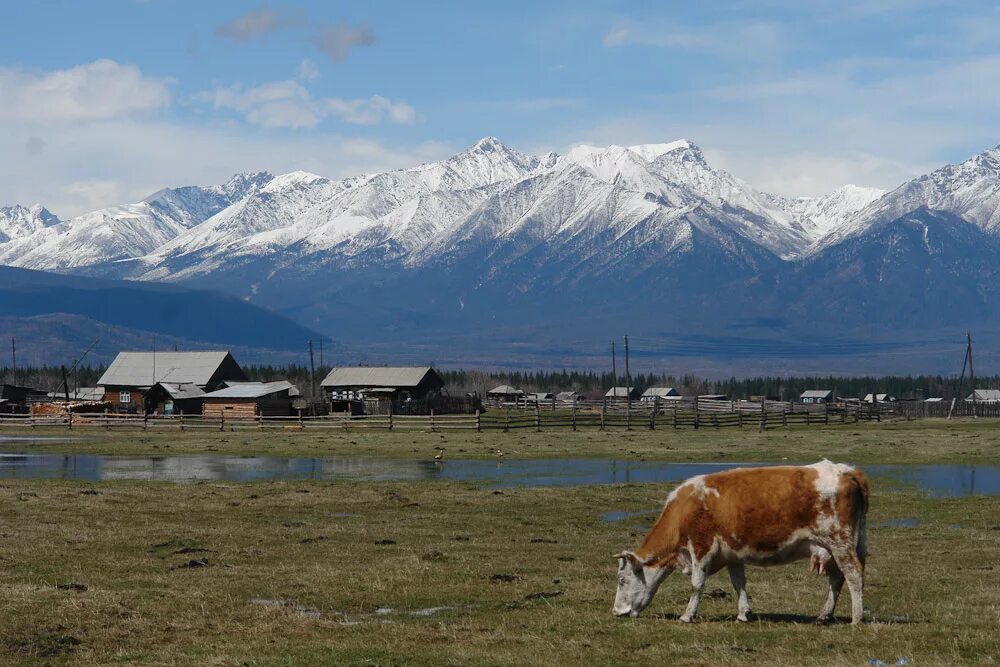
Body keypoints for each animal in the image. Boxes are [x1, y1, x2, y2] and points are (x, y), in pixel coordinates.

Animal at [608, 462, 868, 624]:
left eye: (622, 580)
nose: (616, 612)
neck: (684, 509)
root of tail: (846, 470)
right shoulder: (732, 554)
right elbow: (739, 583)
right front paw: (743, 613)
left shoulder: (701, 547)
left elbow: (697, 584)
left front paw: (687, 615)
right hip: (839, 548)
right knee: (837, 578)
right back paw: (824, 615)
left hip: (840, 542)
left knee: (853, 574)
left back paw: (856, 619)